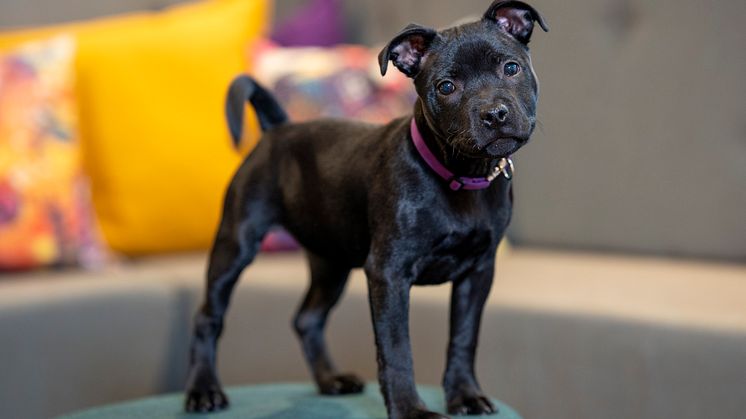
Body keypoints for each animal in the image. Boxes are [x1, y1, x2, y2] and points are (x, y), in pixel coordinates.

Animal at [186, 1, 548, 418]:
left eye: (511, 68)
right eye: (446, 87)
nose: (494, 114)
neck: (460, 176)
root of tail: (278, 129)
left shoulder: (477, 273)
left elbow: (463, 338)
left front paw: (465, 396)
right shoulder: (388, 273)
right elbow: (396, 349)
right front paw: (410, 409)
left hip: (330, 259)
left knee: (307, 319)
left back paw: (330, 380)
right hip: (236, 243)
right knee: (208, 317)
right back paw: (203, 391)